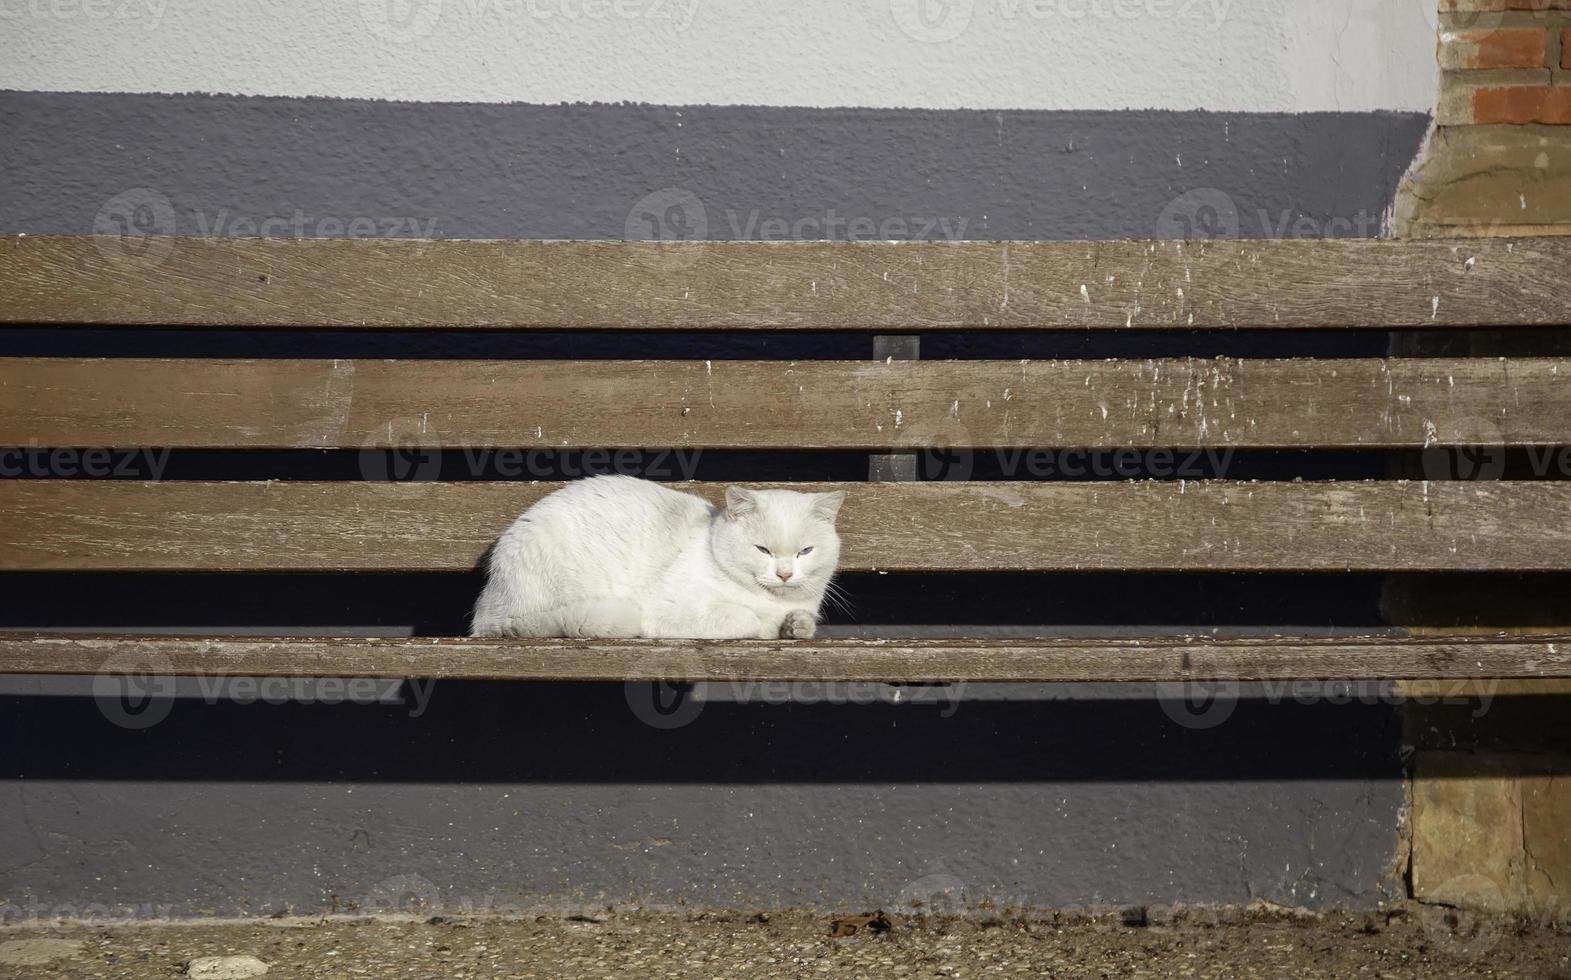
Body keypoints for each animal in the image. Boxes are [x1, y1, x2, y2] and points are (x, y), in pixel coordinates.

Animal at [468, 477, 848, 643]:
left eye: (804, 552)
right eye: (762, 550)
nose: (784, 574)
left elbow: (803, 622)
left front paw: (795, 625)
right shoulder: (671, 610)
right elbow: (747, 620)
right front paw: (767, 625)